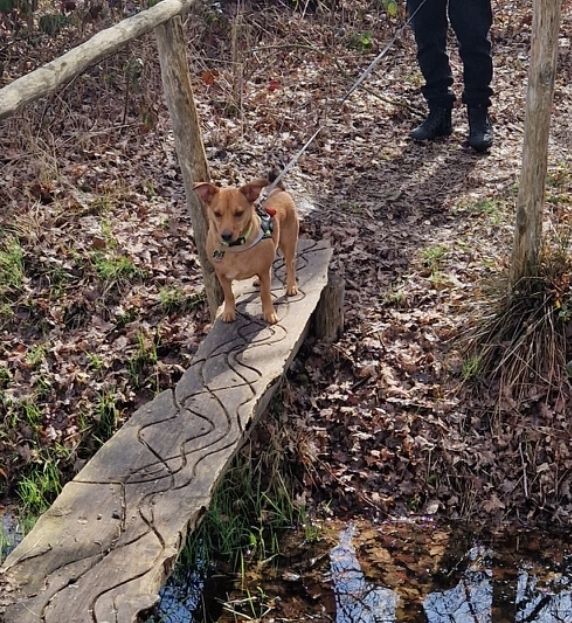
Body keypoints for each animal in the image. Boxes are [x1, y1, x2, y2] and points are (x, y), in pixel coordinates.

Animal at [194, 177, 299, 325]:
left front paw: (269, 313)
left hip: (288, 244)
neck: (236, 247)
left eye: (239, 213)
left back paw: (291, 286)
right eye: (217, 214)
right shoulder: (222, 276)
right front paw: (229, 311)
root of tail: (279, 190)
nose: (226, 235)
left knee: (290, 265)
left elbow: (265, 294)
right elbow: (229, 295)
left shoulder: (264, 273)